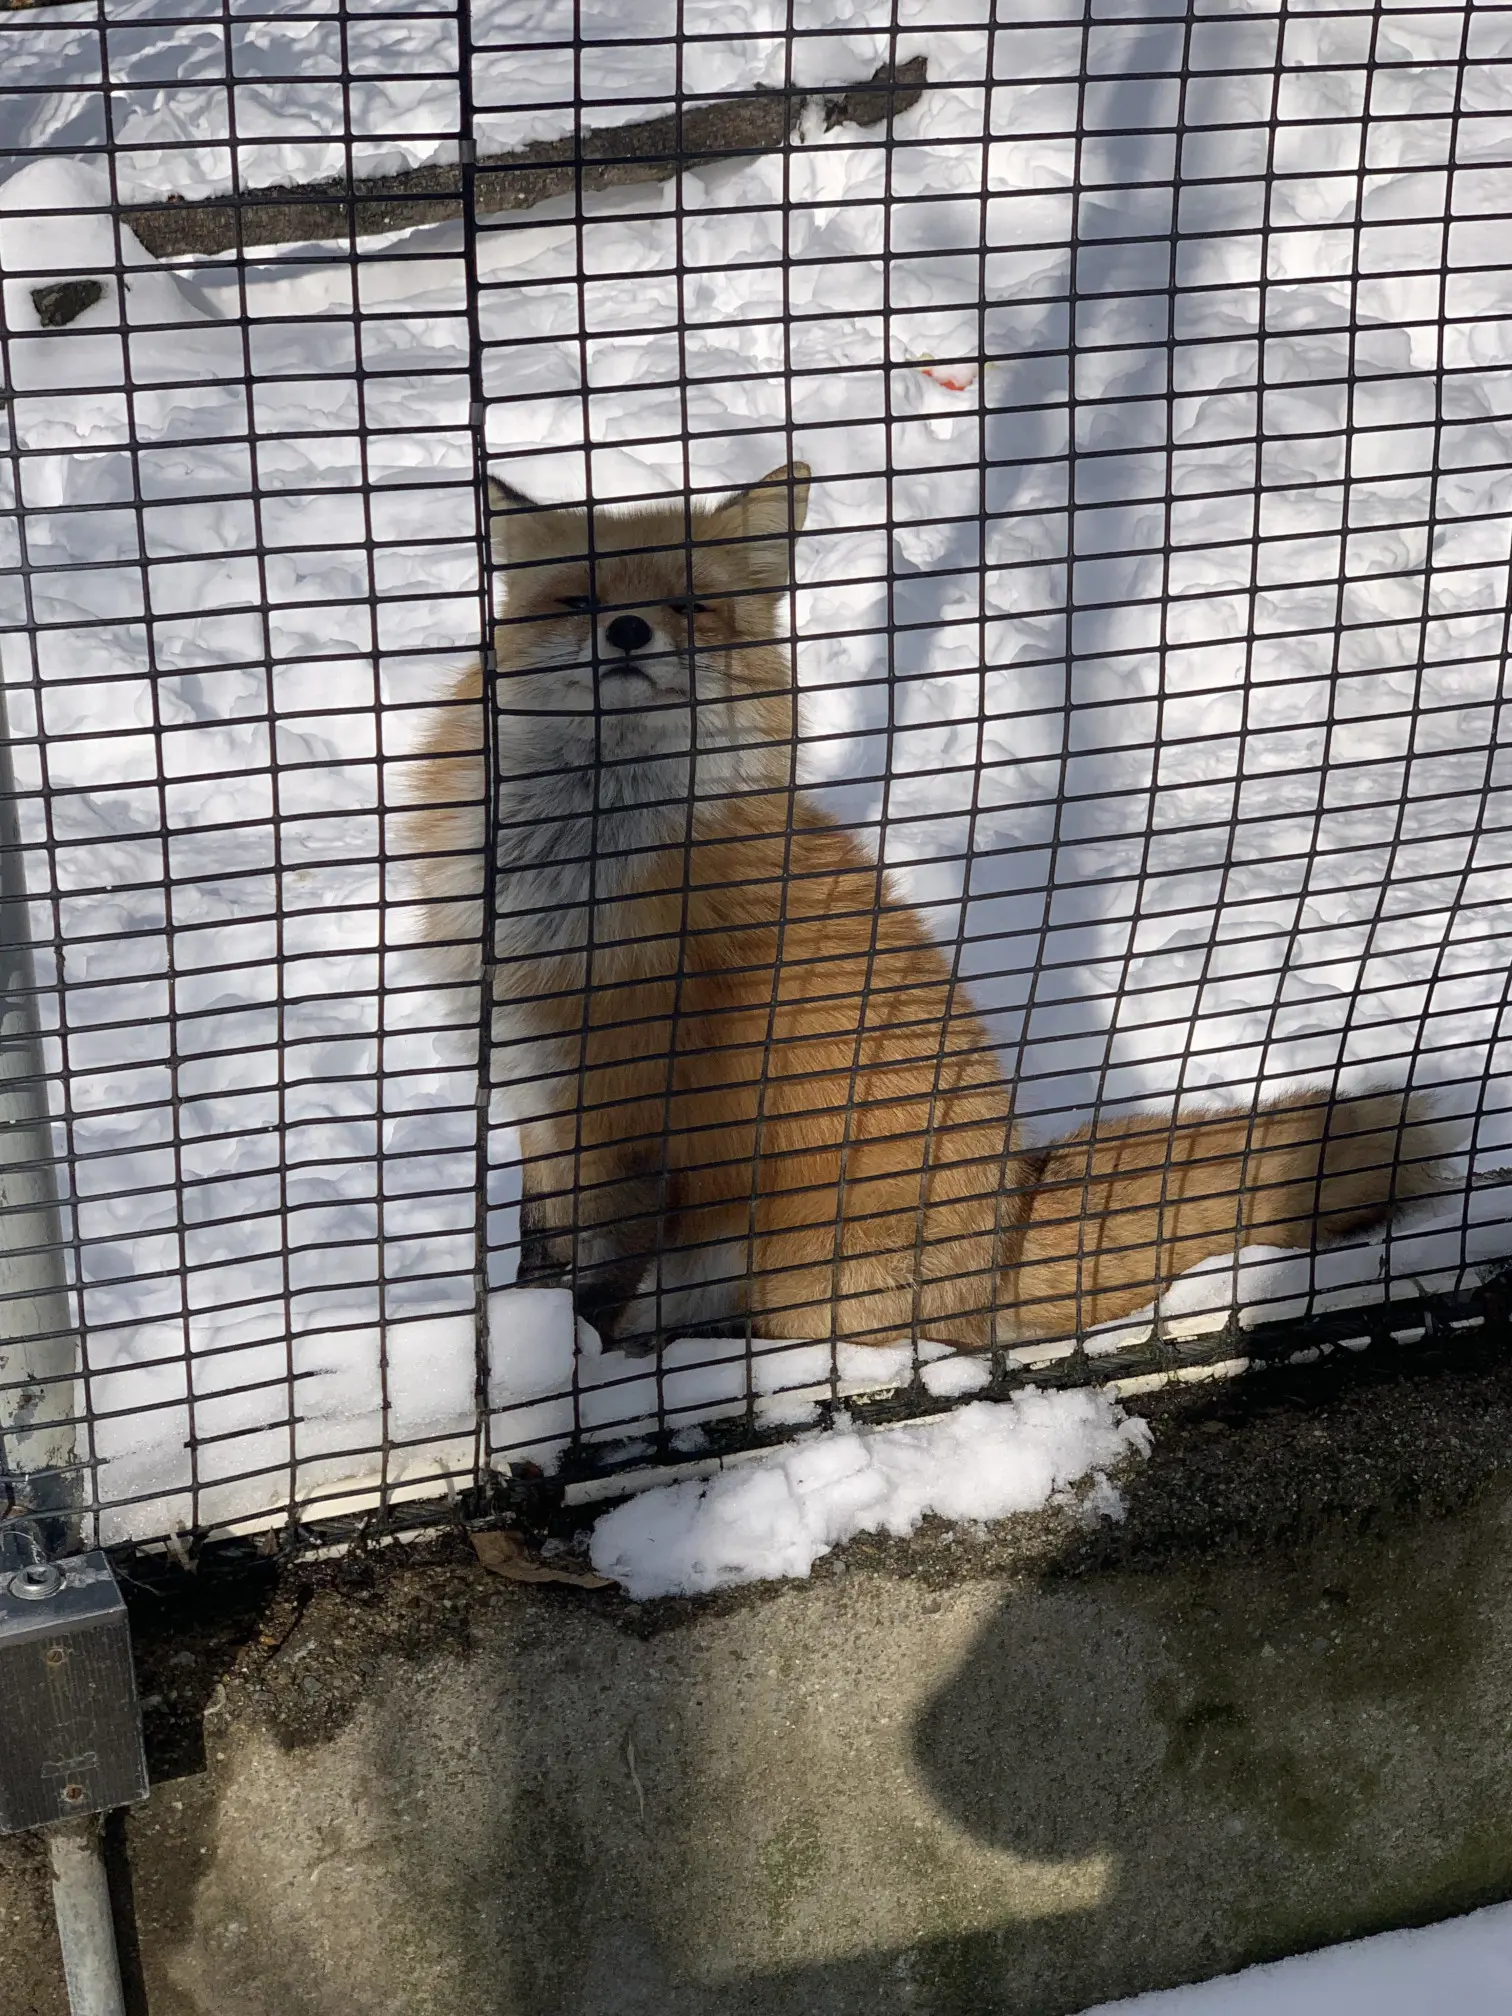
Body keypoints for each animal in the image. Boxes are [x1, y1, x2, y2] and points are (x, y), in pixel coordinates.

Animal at [401, 460, 1443, 1354]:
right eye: (577, 602)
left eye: (691, 605)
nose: (627, 632)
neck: (571, 872)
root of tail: (1007, 1219)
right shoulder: (536, 1091)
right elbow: (540, 1261)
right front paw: (531, 1348)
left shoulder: (631, 1115)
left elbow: (599, 1287)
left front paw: (578, 1378)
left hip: (788, 1276)